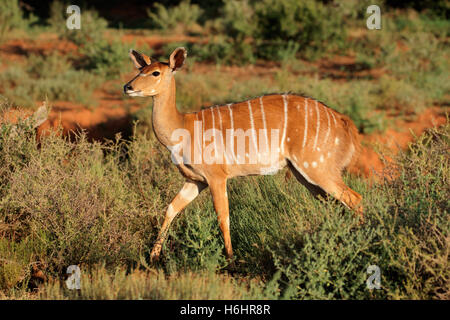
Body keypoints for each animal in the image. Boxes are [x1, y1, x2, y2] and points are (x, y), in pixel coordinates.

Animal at [125, 47, 364, 262]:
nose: (127, 87)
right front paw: (153, 257)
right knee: (335, 204)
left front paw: (231, 259)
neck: (183, 127)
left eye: (155, 73)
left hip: (317, 167)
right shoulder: (195, 180)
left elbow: (223, 216)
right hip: (304, 174)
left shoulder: (217, 177)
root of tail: (343, 121)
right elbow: (171, 208)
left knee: (354, 198)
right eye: (140, 69)